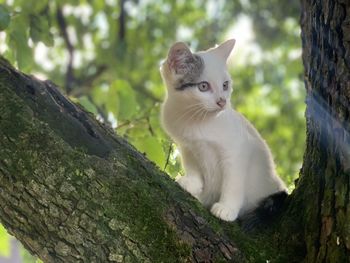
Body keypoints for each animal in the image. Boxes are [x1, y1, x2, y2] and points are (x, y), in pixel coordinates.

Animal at [160, 39, 286, 223]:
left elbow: (233, 182)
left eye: (225, 85)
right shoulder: (187, 145)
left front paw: (227, 208)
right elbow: (191, 164)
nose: (222, 101)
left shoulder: (239, 150)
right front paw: (193, 183)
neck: (195, 120)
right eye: (203, 86)